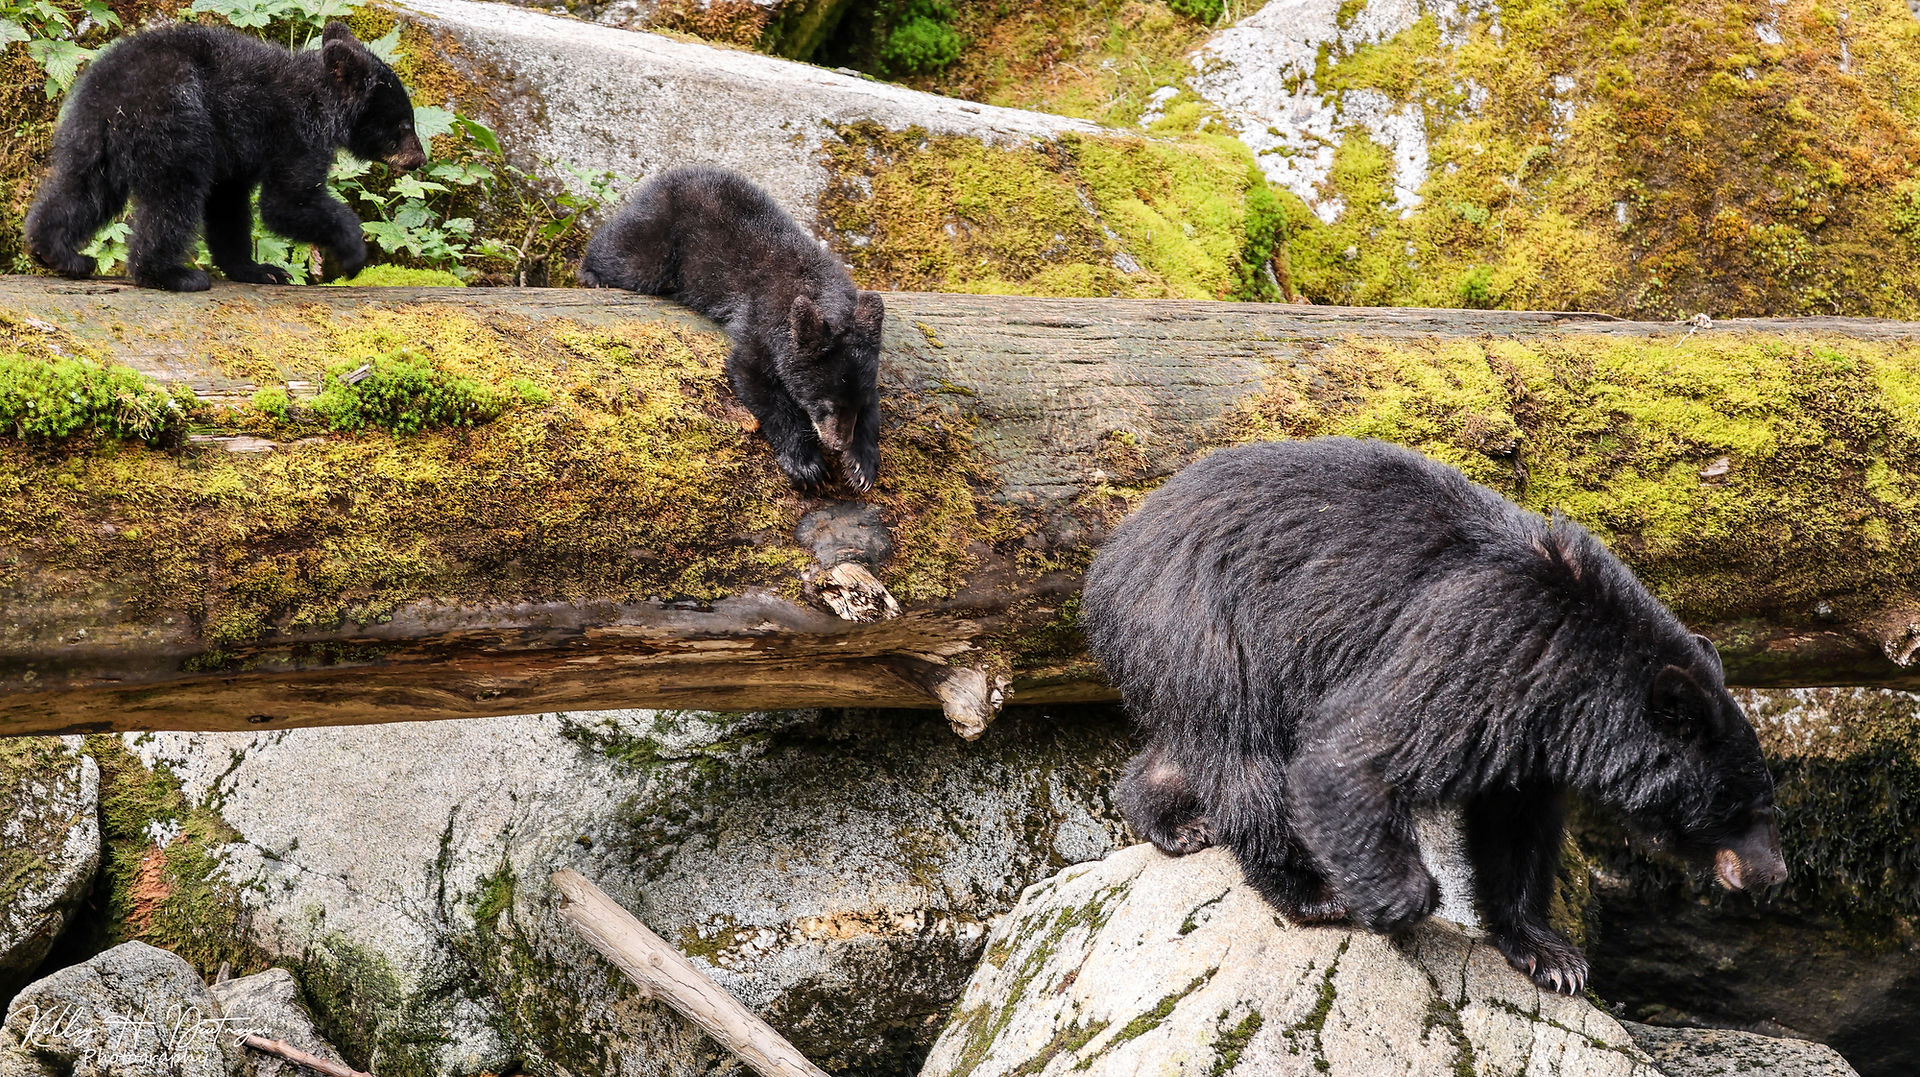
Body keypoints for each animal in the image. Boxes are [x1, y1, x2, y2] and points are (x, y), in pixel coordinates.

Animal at [24, 21, 426, 292]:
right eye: (404, 124)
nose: (419, 159)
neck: (320, 95)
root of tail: (112, 89)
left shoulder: (236, 151)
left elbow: (228, 207)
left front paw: (257, 269)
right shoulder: (296, 134)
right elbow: (288, 200)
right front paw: (352, 254)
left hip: (92, 137)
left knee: (80, 190)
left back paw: (59, 253)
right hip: (175, 125)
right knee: (172, 200)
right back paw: (171, 274)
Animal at [578, 165, 884, 493]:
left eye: (857, 404)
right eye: (824, 403)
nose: (838, 443)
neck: (816, 287)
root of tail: (674, 174)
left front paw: (862, 464)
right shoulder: (764, 325)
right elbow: (752, 376)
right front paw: (806, 464)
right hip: (661, 236)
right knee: (629, 255)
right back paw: (591, 274)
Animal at [1080, 436, 1786, 995]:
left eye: (1766, 801)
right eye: (1739, 805)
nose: (1773, 874)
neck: (1574, 672)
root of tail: (1108, 557)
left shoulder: (1529, 728)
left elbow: (1515, 825)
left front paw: (1550, 953)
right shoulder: (1480, 650)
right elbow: (1351, 755)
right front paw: (1397, 900)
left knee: (1191, 743)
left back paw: (1169, 819)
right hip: (1214, 625)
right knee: (1246, 757)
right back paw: (1307, 888)